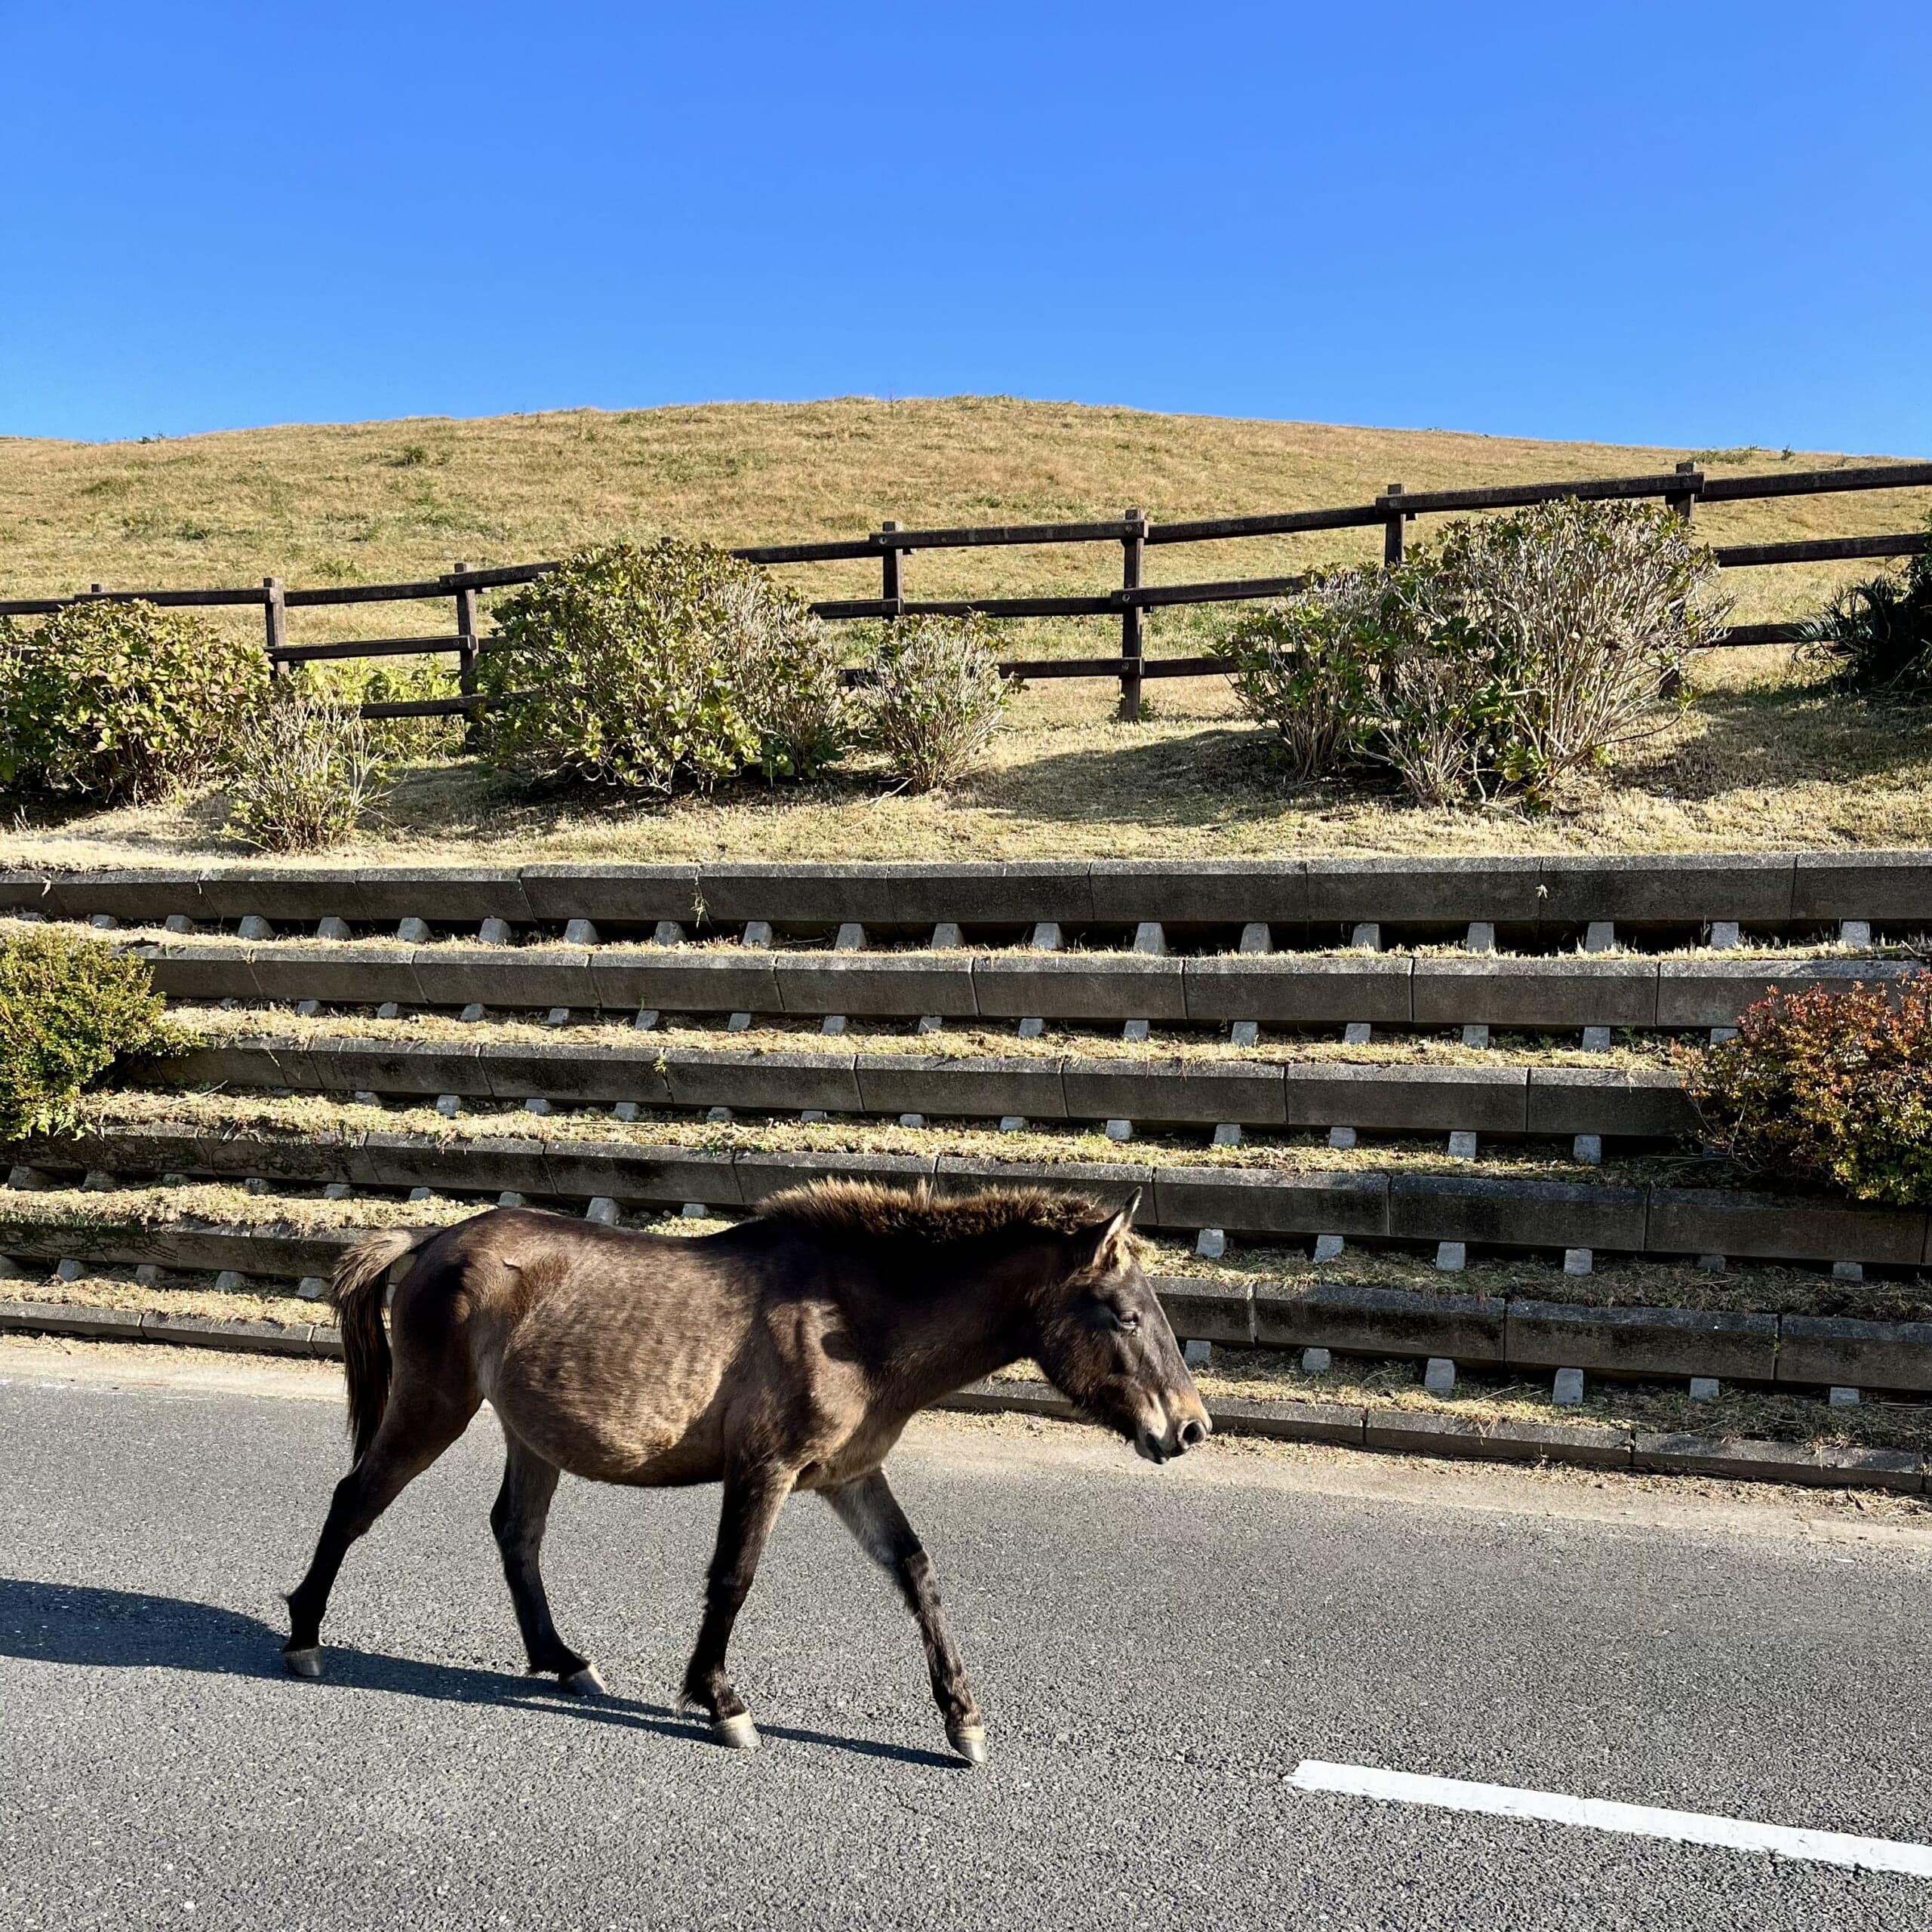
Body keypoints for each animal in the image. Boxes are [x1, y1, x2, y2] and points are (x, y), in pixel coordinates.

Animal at [283, 1180, 1209, 1763]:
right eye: (1125, 1315)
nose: (1190, 1426)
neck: (854, 1319)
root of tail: (434, 1239)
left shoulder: (849, 1476)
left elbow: (916, 1574)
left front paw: (963, 1720)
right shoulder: (766, 1469)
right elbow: (734, 1577)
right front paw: (719, 1701)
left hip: (529, 1435)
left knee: (518, 1532)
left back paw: (563, 1659)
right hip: (433, 1407)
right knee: (354, 1500)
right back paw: (304, 1638)